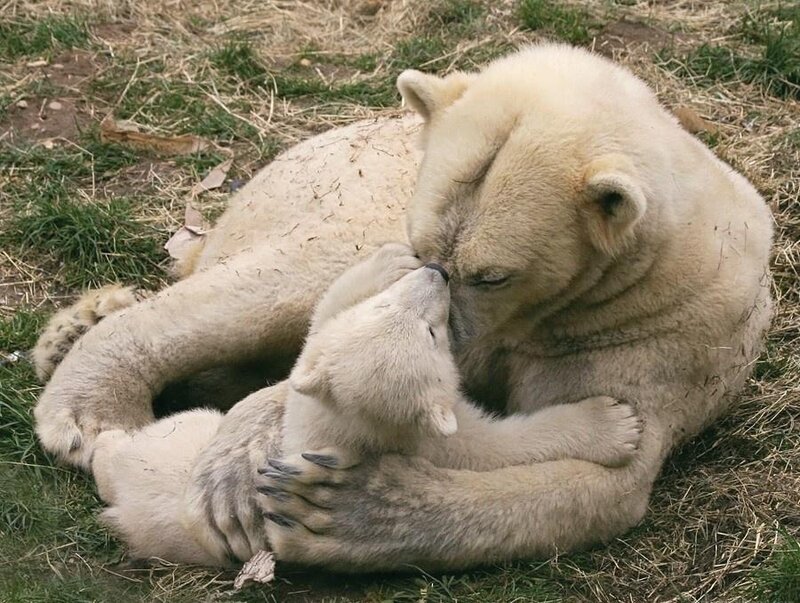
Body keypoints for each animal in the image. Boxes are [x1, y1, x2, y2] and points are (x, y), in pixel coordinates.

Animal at [90, 244, 642, 565]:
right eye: (433, 332)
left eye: (385, 305)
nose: (437, 270)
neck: (350, 424)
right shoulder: (432, 439)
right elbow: (498, 445)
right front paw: (614, 422)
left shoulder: (309, 391)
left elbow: (319, 323)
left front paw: (387, 260)